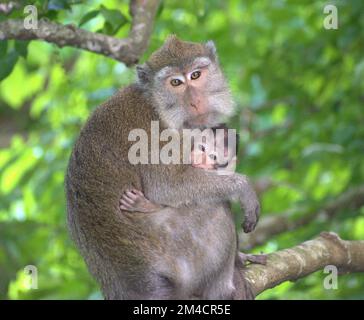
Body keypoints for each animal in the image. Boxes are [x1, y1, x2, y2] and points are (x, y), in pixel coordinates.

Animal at [66, 35, 262, 300]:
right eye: (176, 82)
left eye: (196, 75)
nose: (195, 101)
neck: (158, 106)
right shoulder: (151, 131)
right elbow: (166, 187)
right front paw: (243, 189)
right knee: (217, 207)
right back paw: (224, 287)